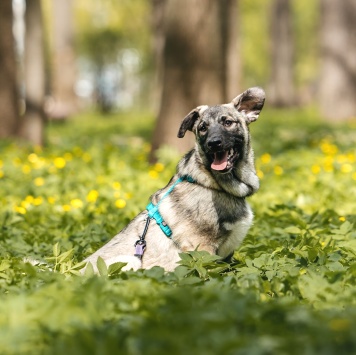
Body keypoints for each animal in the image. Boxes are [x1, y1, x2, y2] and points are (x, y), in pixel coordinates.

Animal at [84, 87, 264, 274]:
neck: (214, 184)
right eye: (203, 128)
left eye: (228, 122)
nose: (213, 143)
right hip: (131, 260)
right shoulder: (203, 248)